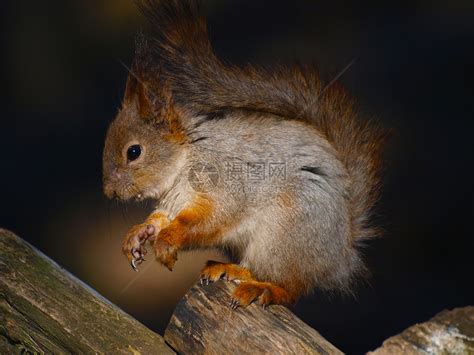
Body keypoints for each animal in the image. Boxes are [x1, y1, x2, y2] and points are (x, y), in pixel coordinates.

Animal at [103, 0, 386, 308]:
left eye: (134, 152)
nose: (109, 192)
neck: (186, 159)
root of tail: (340, 256)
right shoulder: (174, 202)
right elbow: (161, 219)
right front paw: (139, 233)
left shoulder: (225, 179)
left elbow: (213, 218)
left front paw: (167, 241)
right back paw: (227, 269)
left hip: (285, 234)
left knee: (289, 287)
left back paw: (261, 289)